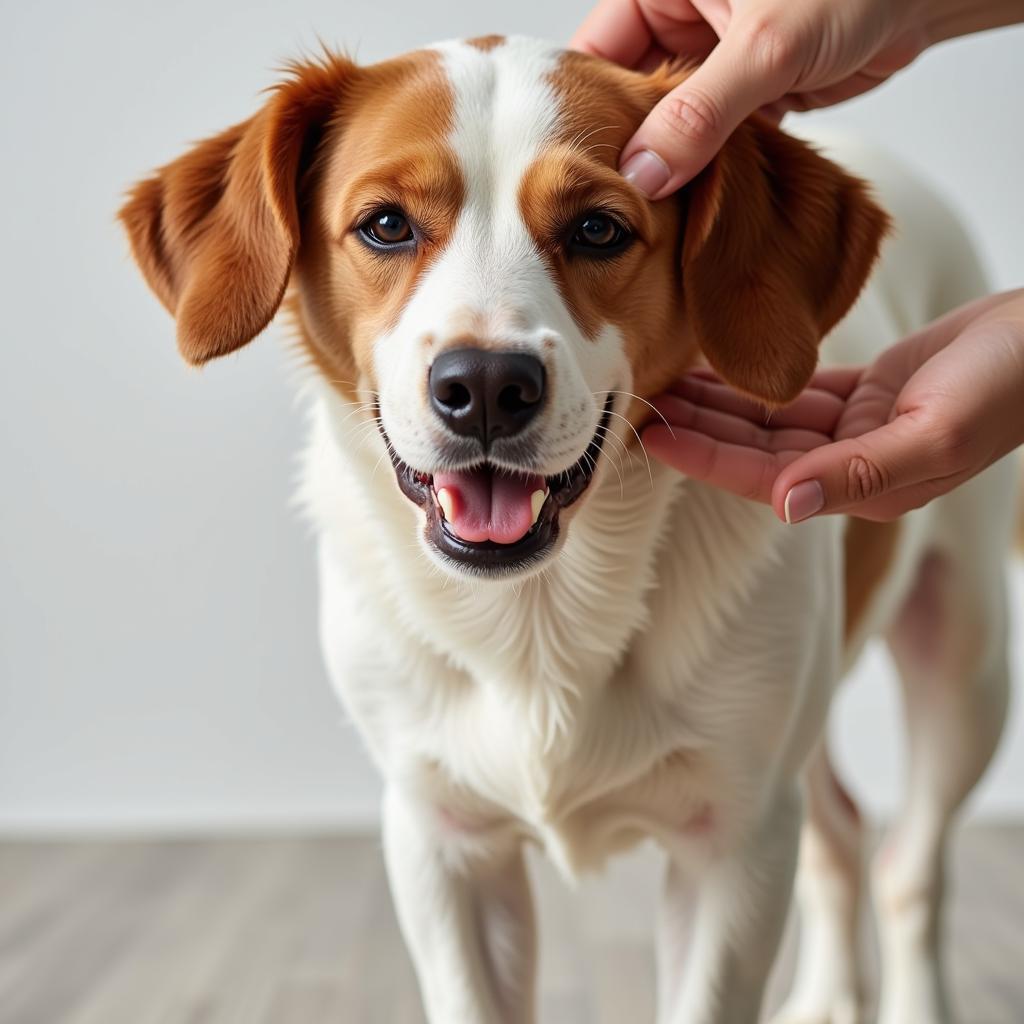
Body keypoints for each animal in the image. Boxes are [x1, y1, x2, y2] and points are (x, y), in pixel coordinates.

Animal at [117, 34, 1015, 1024]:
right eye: (386, 225)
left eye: (598, 230)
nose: (484, 386)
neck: (539, 617)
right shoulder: (442, 842)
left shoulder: (734, 843)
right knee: (844, 839)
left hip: (961, 664)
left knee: (909, 869)